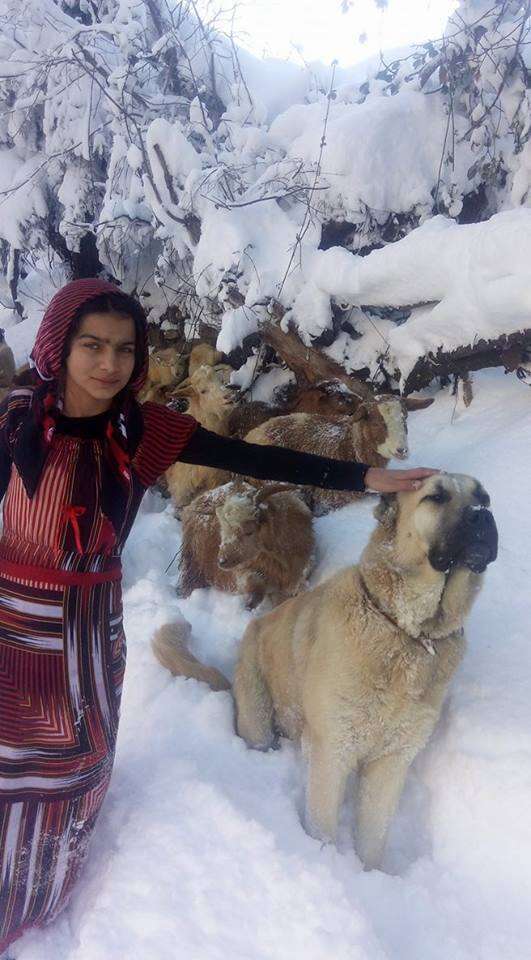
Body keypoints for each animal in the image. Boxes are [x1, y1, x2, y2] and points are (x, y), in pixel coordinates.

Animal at [178, 480, 316, 608]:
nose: (221, 561)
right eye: (223, 531)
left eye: (249, 531)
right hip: (193, 564)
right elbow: (255, 592)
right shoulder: (245, 574)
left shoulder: (305, 561)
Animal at [234, 472, 498, 872]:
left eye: (483, 496)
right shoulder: (332, 750)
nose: (483, 514)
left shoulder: (392, 762)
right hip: (257, 715)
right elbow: (323, 828)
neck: (408, 633)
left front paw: (369, 874)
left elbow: (373, 837)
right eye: (436, 496)